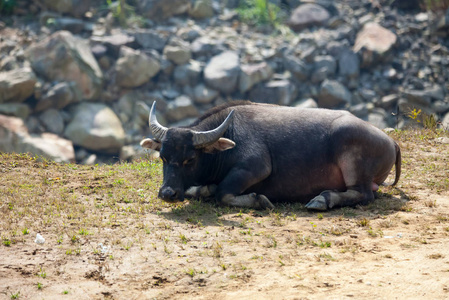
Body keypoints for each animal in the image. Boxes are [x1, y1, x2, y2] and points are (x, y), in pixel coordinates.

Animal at [140, 101, 400, 211]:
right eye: (163, 157)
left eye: (190, 159)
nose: (168, 194)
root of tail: (391, 142)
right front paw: (204, 190)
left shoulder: (256, 166)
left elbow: (223, 194)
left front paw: (260, 200)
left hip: (351, 158)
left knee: (363, 195)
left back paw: (322, 200)